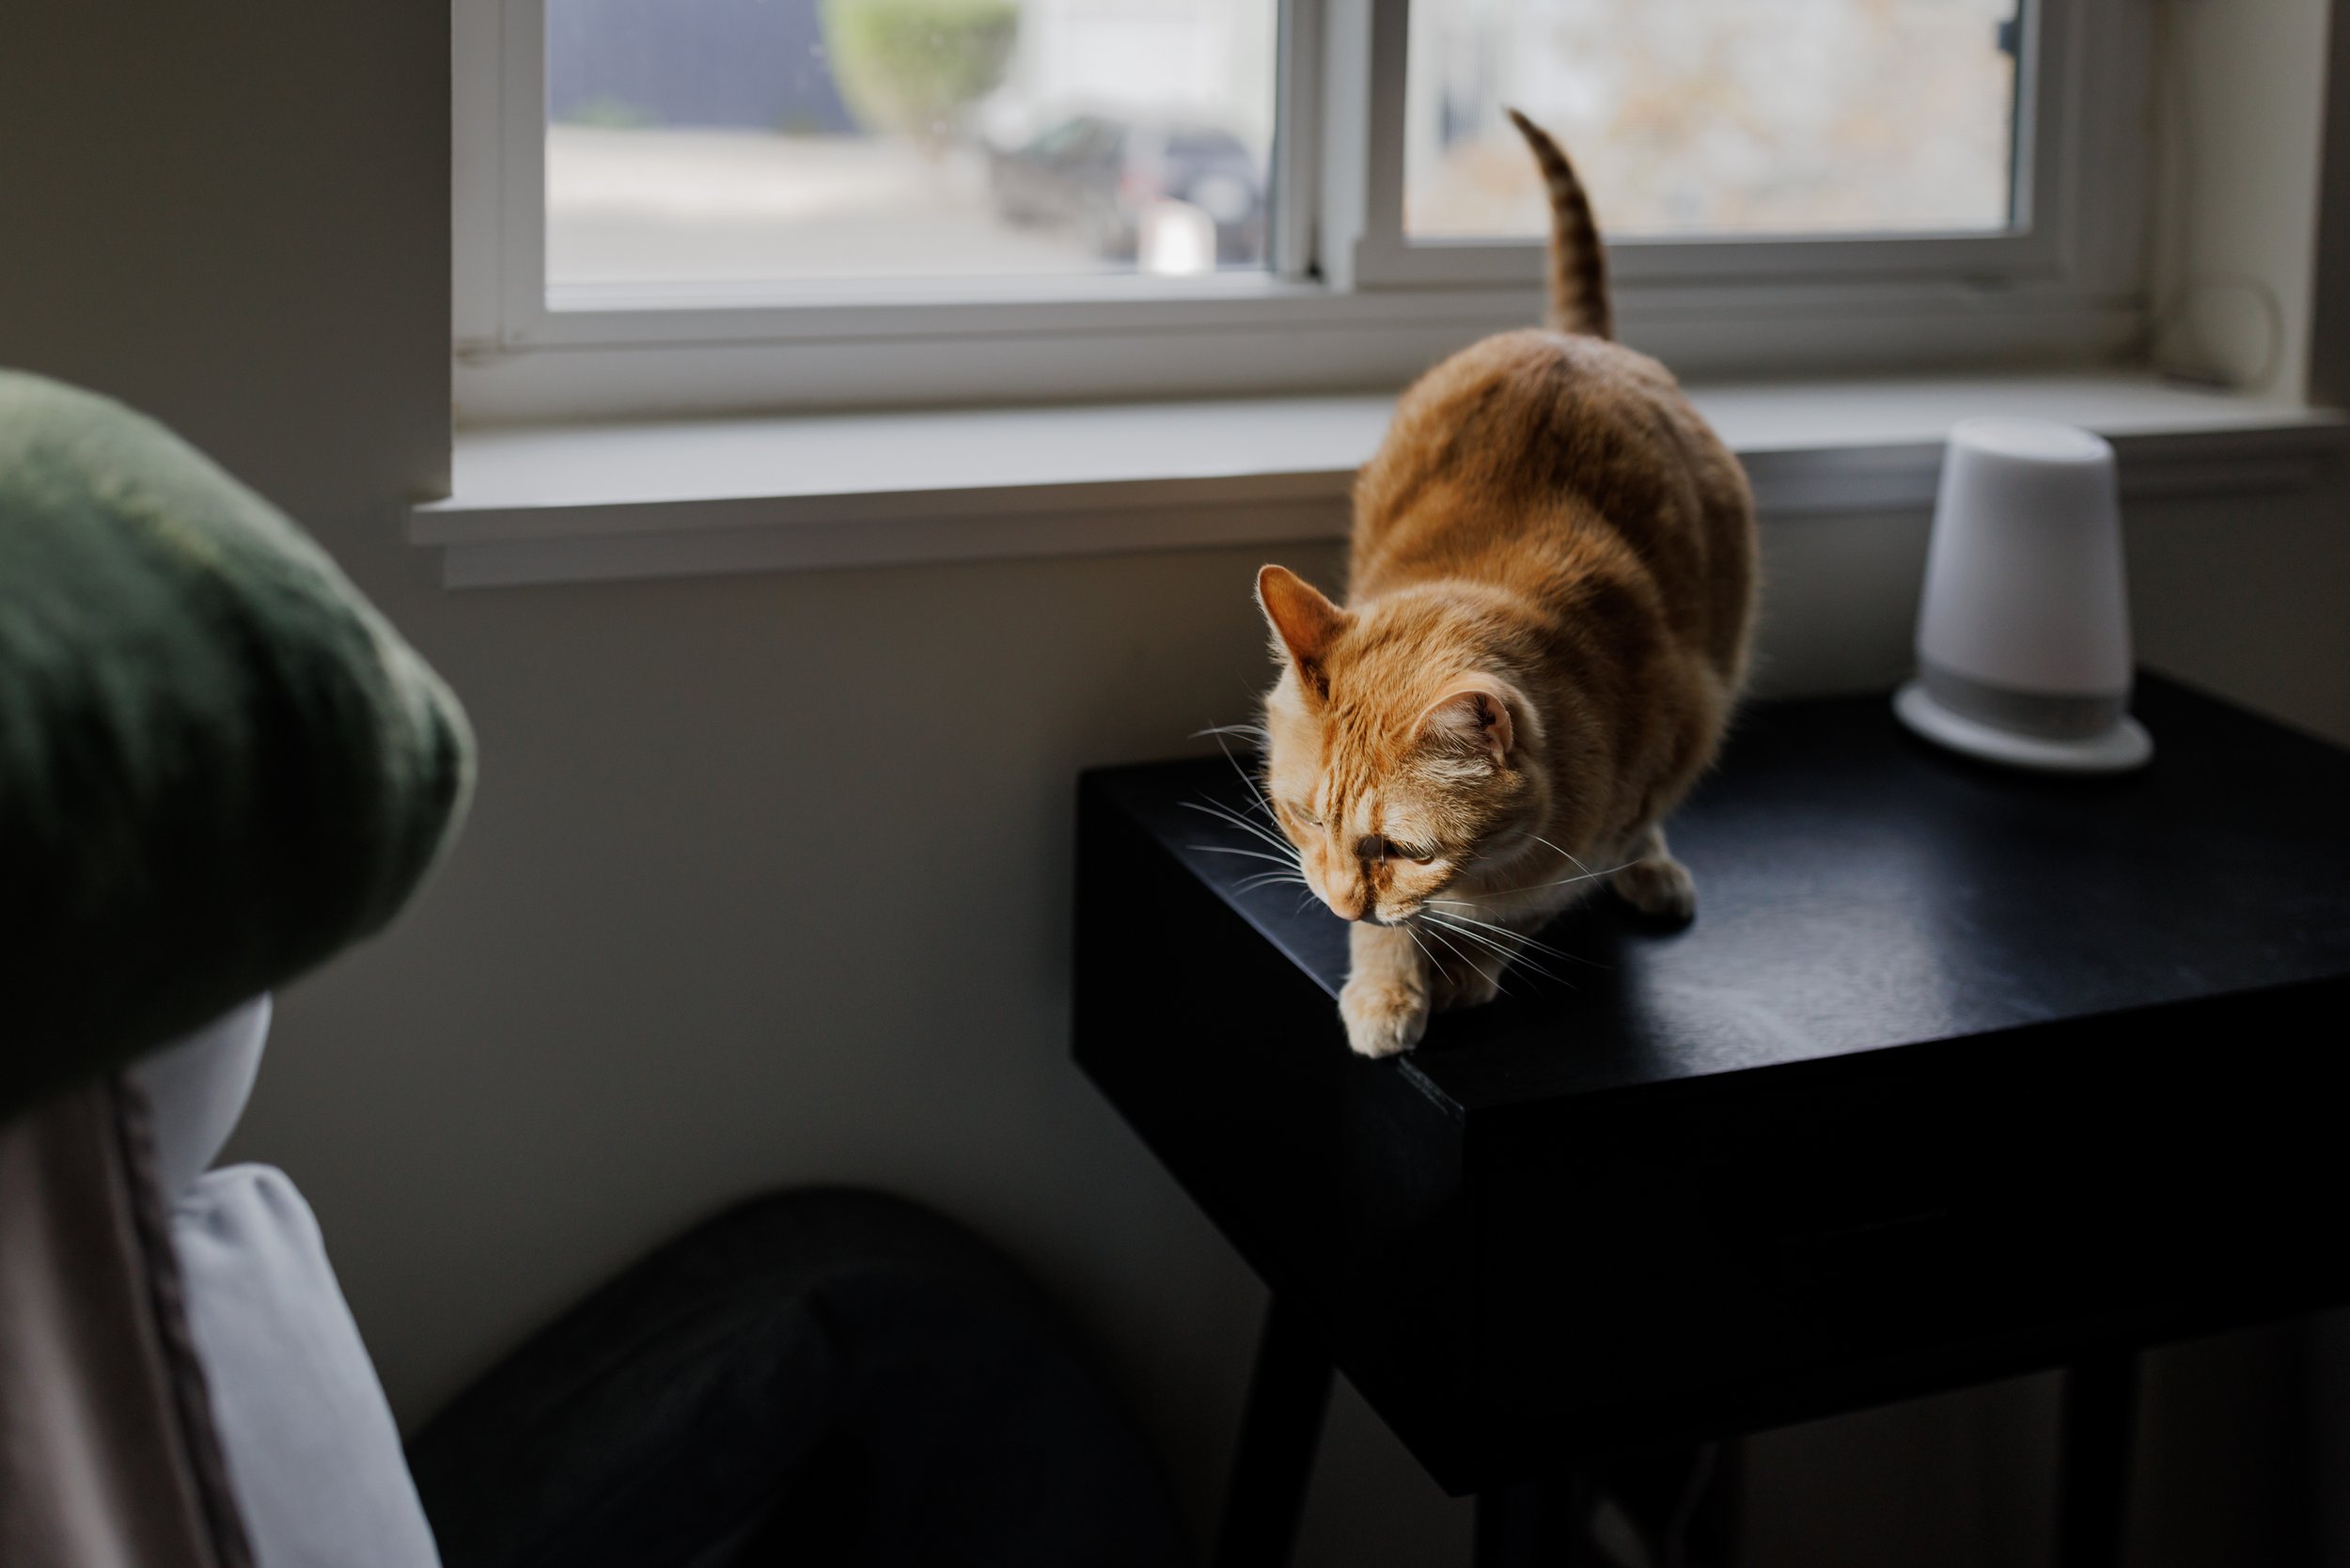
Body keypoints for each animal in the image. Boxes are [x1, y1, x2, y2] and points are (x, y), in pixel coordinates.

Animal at [1260, 110, 1758, 1062]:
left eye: (1401, 848)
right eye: (1304, 817)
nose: (1339, 900)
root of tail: (1580, 340)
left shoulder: (1625, 792)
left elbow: (1529, 903)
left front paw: (1465, 966)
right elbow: (1394, 933)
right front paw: (1389, 983)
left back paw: (1652, 868)